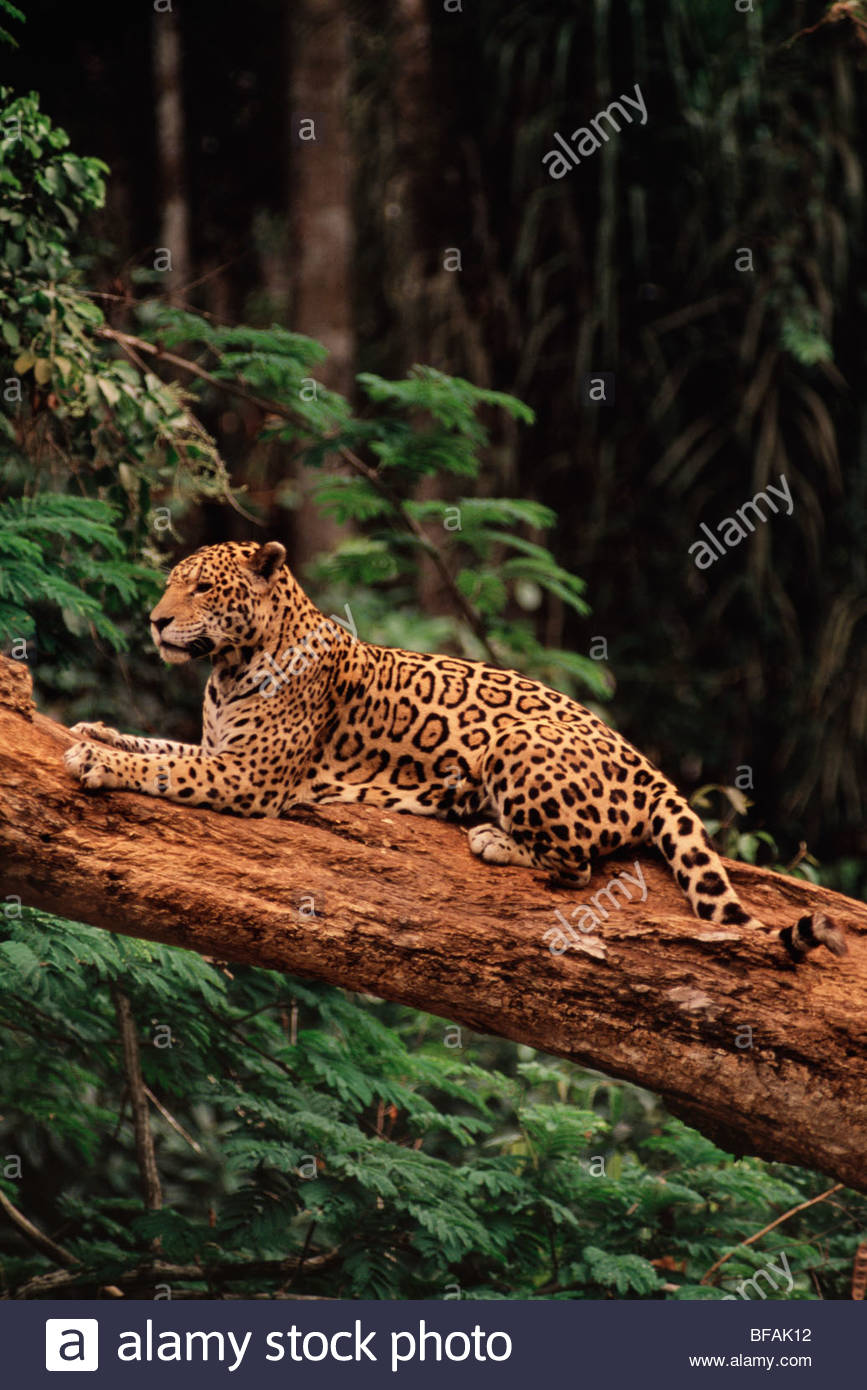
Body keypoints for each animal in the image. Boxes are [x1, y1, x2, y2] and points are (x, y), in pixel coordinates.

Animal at [64, 540, 846, 962]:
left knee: (577, 865)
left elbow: (168, 766)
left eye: (202, 587)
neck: (227, 667)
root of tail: (647, 767)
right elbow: (163, 743)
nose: (156, 620)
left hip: (520, 744)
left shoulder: (248, 776)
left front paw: (104, 763)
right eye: (171, 582)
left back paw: (493, 837)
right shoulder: (221, 749)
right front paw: (94, 734)